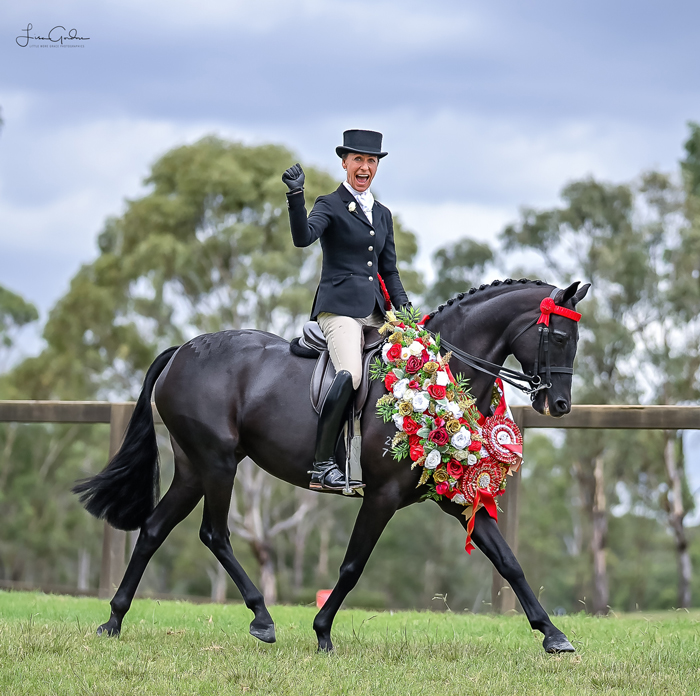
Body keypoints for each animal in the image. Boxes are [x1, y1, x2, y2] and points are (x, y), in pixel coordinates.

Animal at [74, 278, 592, 652]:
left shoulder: (450, 494)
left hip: (194, 468)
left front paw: (553, 635)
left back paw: (113, 620)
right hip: (217, 464)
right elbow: (352, 565)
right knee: (213, 533)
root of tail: (180, 351)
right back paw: (262, 619)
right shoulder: (381, 496)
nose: (559, 405)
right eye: (558, 336)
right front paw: (322, 631)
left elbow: (508, 561)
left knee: (154, 530)